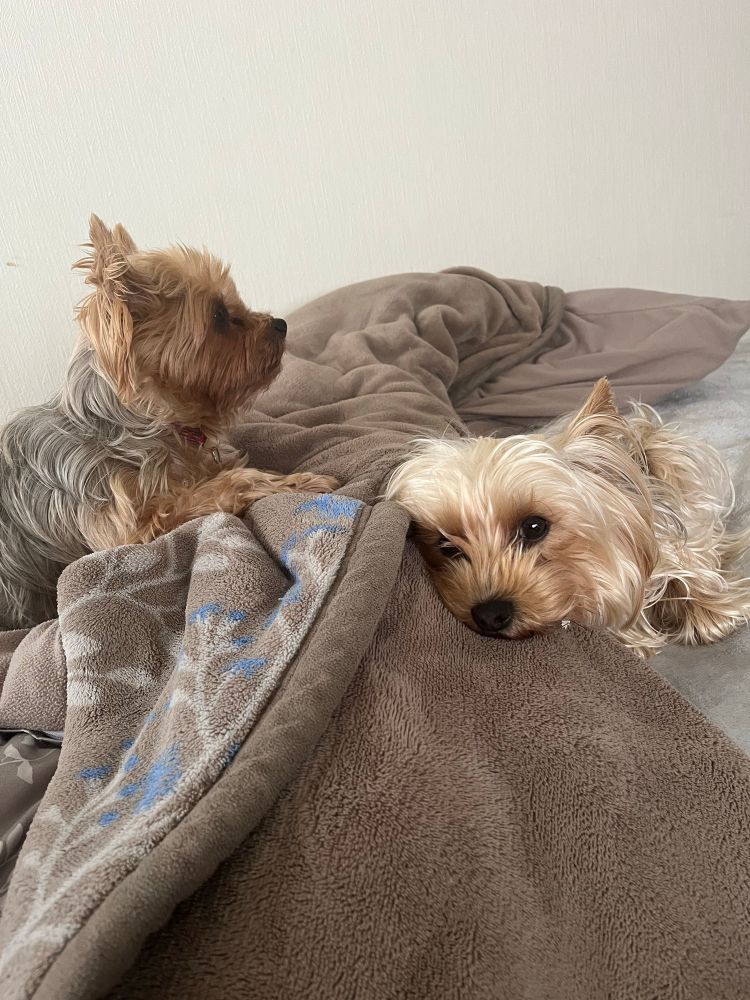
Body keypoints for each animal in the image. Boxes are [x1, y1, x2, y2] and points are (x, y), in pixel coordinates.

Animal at [0, 215, 336, 630]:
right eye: (217, 316)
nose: (280, 324)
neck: (135, 425)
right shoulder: (135, 533)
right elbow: (228, 484)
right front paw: (299, 482)